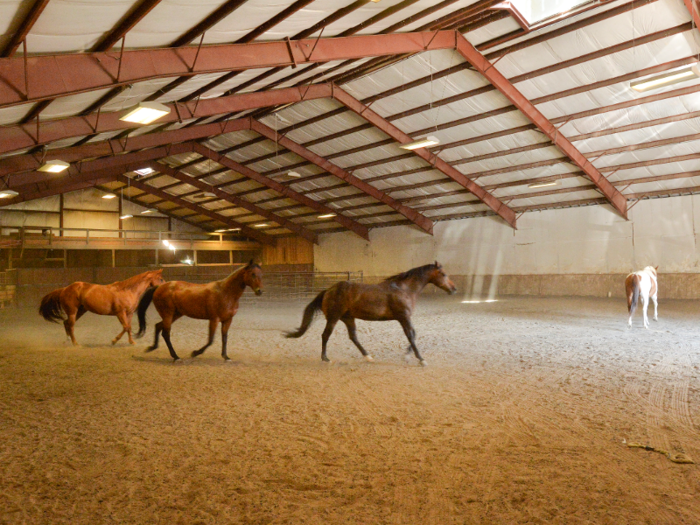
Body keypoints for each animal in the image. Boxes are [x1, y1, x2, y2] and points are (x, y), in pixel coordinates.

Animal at [286, 260, 456, 364]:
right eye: (444, 274)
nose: (454, 289)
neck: (404, 289)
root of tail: (328, 290)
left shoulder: (405, 318)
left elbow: (413, 334)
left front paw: (408, 355)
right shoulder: (404, 317)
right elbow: (411, 335)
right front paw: (421, 359)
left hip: (348, 318)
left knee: (353, 337)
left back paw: (368, 356)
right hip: (334, 318)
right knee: (325, 335)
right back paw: (325, 358)